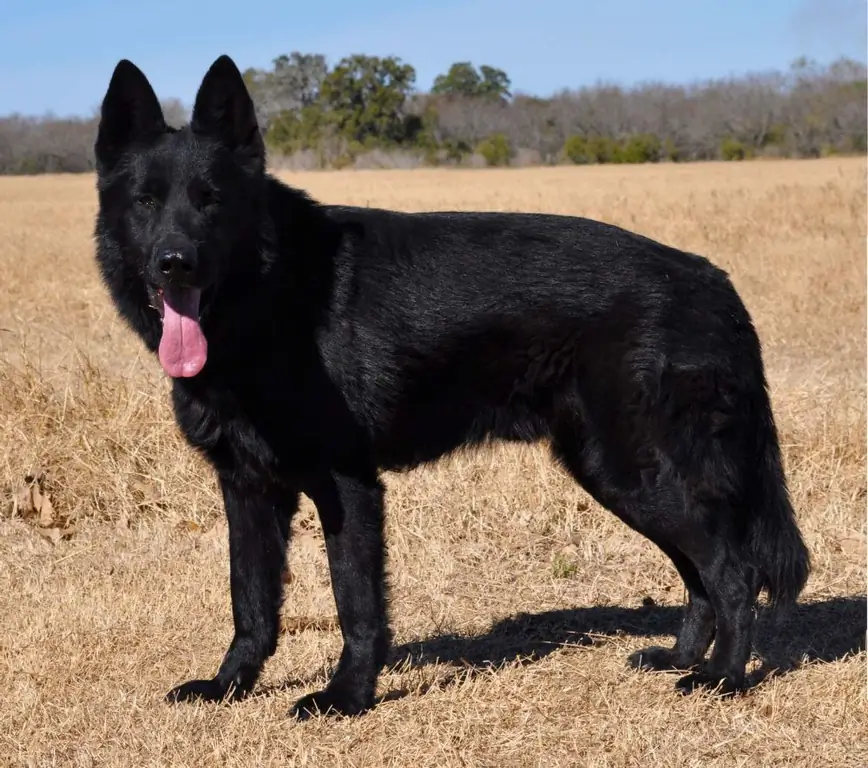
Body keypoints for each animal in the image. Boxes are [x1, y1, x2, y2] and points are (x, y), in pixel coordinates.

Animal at [91, 55, 812, 720]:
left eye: (211, 200)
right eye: (146, 201)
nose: (175, 263)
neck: (271, 296)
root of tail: (712, 280)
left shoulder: (346, 486)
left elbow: (357, 604)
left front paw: (347, 697)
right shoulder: (247, 489)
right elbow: (251, 602)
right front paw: (229, 687)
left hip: (640, 474)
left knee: (733, 572)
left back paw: (724, 677)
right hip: (618, 477)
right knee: (699, 573)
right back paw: (682, 658)